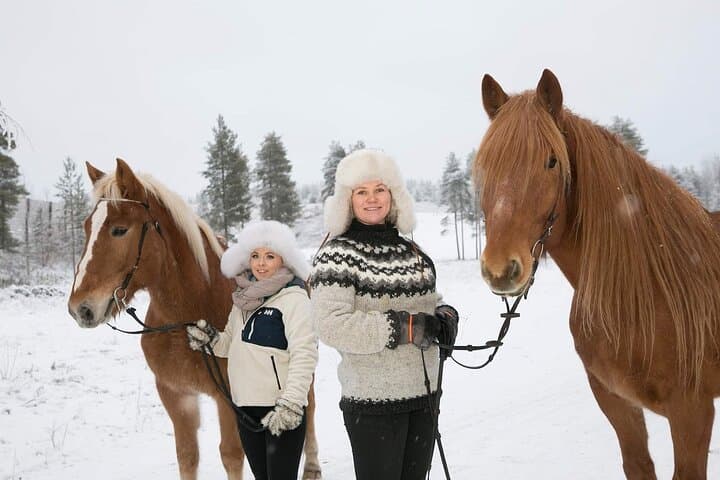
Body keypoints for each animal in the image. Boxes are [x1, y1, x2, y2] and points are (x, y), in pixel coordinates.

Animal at [67, 158, 321, 480]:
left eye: (119, 230)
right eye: (87, 227)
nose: (80, 308)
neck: (187, 313)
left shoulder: (229, 400)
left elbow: (231, 455)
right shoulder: (176, 395)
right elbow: (187, 455)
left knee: (309, 405)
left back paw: (312, 466)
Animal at [474, 69, 720, 479]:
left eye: (552, 161)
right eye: (485, 166)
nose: (500, 269)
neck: (642, 292)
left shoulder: (693, 412)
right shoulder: (617, 403)